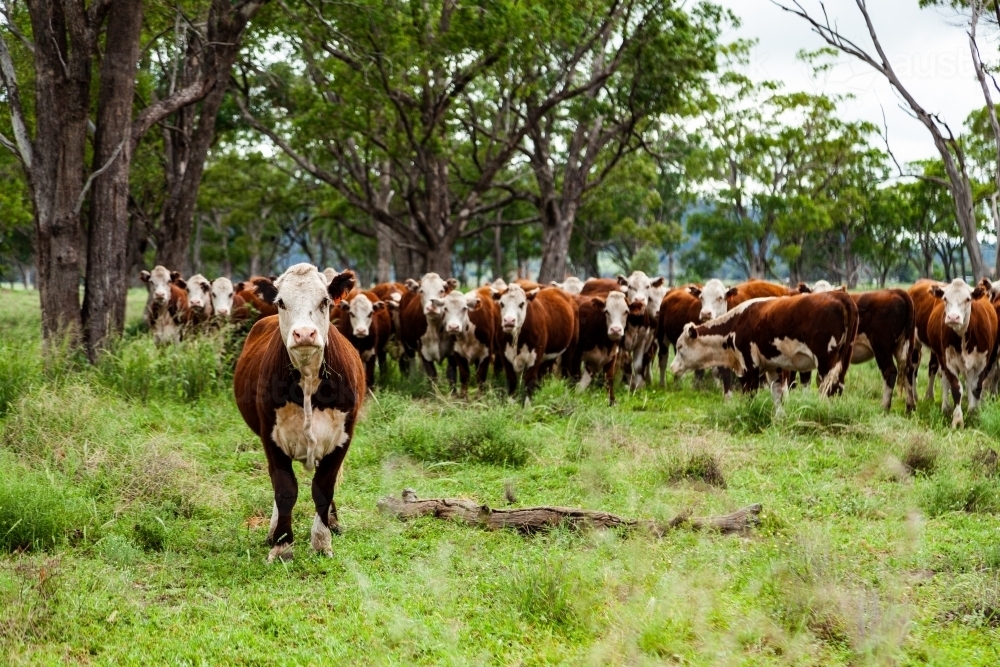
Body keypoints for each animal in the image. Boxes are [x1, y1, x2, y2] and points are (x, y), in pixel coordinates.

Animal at [233, 264, 364, 562]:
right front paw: (282, 546)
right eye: (281, 302)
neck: (308, 379)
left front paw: (322, 542)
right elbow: (285, 489)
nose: (304, 334)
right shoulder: (270, 437)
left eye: (325, 301)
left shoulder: (343, 438)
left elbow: (323, 487)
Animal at [670, 292, 859, 407]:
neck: (736, 323)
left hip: (826, 362)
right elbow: (777, 396)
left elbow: (749, 396)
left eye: (680, 346)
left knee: (829, 389)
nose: (672, 367)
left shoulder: (749, 369)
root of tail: (839, 295)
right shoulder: (774, 367)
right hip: (844, 359)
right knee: (838, 387)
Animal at [924, 279, 998, 428]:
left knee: (970, 383)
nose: (953, 317)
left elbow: (976, 387)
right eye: (945, 298)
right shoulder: (949, 363)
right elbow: (956, 389)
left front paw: (974, 413)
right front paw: (958, 420)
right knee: (944, 380)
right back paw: (946, 408)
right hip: (940, 357)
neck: (963, 337)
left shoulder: (982, 363)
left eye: (968, 299)